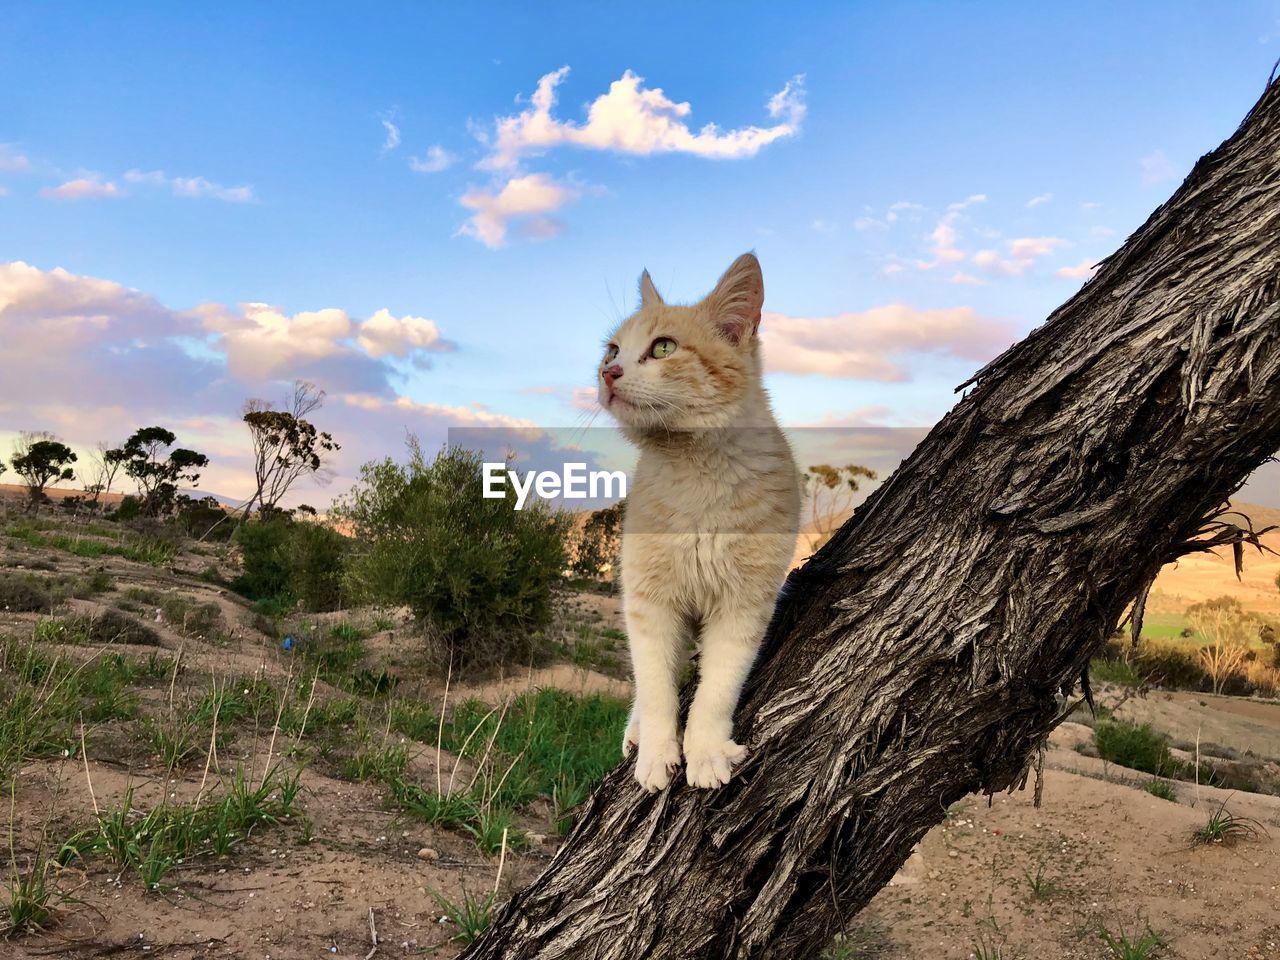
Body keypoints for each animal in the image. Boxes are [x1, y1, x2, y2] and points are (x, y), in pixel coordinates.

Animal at [593, 253, 793, 788]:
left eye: (663, 347)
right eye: (612, 349)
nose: (608, 372)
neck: (694, 471)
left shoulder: (744, 606)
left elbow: (717, 689)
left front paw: (704, 752)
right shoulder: (649, 603)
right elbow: (657, 688)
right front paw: (656, 754)